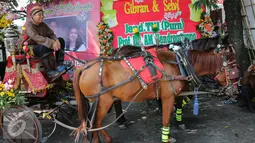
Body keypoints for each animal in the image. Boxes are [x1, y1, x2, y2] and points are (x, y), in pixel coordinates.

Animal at [71, 44, 231, 142]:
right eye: (233, 67)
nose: (231, 90)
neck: (179, 63)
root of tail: (84, 67)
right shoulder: (168, 96)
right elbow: (166, 119)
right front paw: (167, 137)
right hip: (103, 101)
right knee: (94, 124)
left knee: (94, 124)